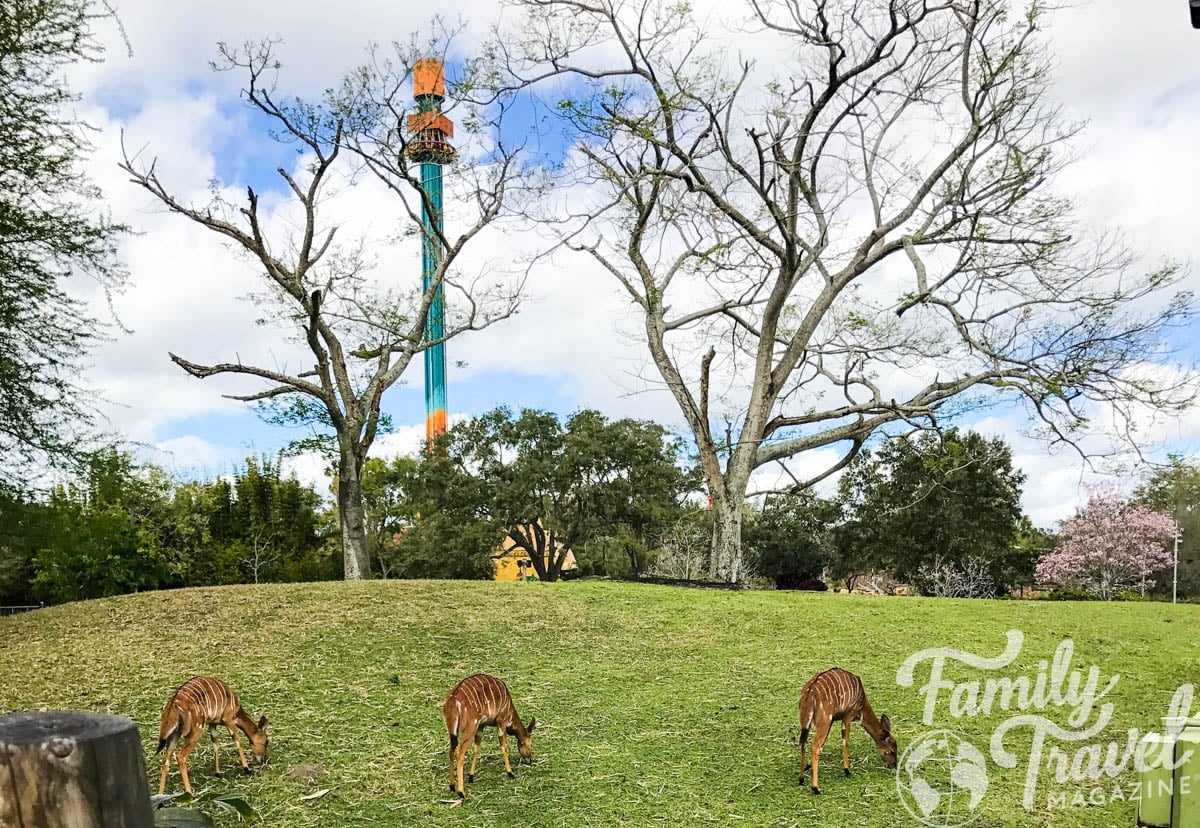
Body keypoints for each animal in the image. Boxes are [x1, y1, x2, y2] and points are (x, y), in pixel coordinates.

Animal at [796, 662, 892, 792]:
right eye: (892, 751)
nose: (894, 765)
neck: (862, 701)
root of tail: (809, 693)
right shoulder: (848, 716)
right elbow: (845, 741)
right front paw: (847, 770)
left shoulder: (832, 720)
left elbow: (824, 742)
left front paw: (808, 766)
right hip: (824, 720)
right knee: (814, 746)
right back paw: (815, 788)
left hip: (807, 721)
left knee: (803, 743)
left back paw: (801, 779)